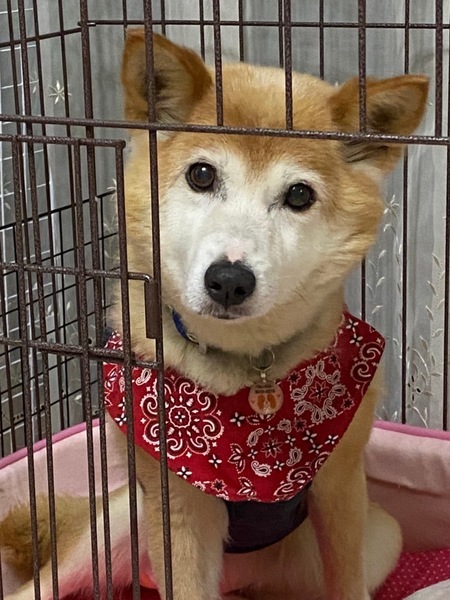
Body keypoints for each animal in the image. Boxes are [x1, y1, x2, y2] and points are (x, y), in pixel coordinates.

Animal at [0, 30, 428, 600]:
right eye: (202, 174)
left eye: (299, 194)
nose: (228, 279)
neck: (247, 369)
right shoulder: (176, 504)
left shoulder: (341, 484)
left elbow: (347, 579)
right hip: (115, 525)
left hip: (380, 538)